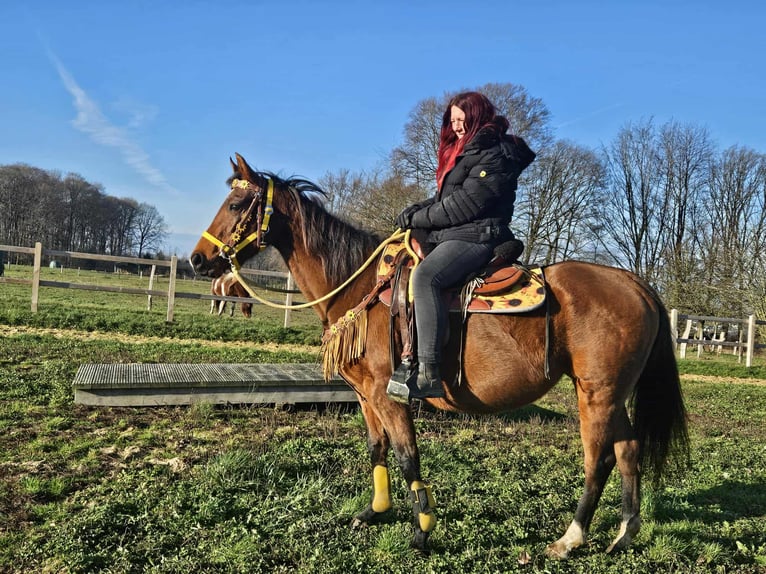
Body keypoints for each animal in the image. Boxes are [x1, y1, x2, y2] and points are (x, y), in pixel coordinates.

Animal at [190, 154, 689, 559]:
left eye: (236, 205)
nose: (197, 259)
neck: (358, 284)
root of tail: (636, 285)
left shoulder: (389, 396)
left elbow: (407, 456)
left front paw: (422, 530)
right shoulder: (366, 397)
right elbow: (377, 449)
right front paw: (375, 511)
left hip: (596, 395)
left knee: (598, 460)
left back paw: (570, 539)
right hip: (611, 395)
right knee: (628, 449)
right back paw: (623, 533)